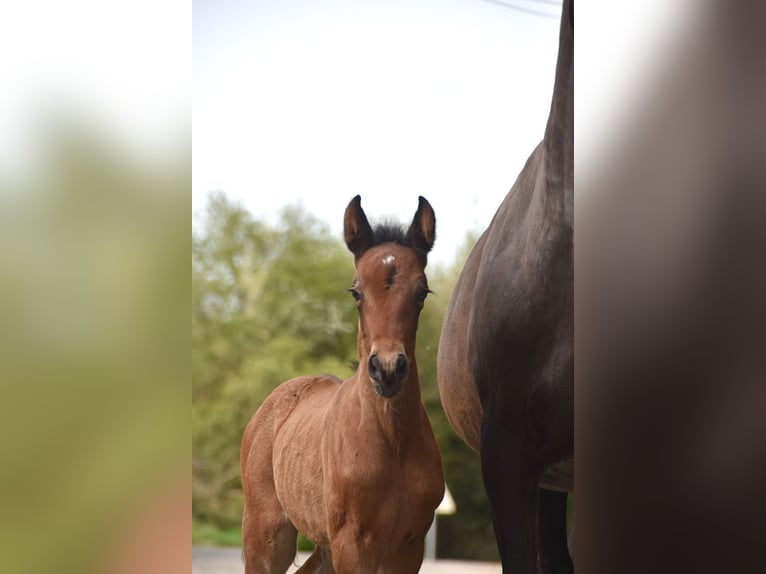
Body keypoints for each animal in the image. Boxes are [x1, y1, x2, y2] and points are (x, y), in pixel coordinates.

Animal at [240, 196, 445, 574]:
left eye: (422, 292)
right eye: (356, 291)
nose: (387, 369)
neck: (392, 442)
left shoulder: (409, 547)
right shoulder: (352, 542)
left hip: (323, 547)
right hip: (268, 535)